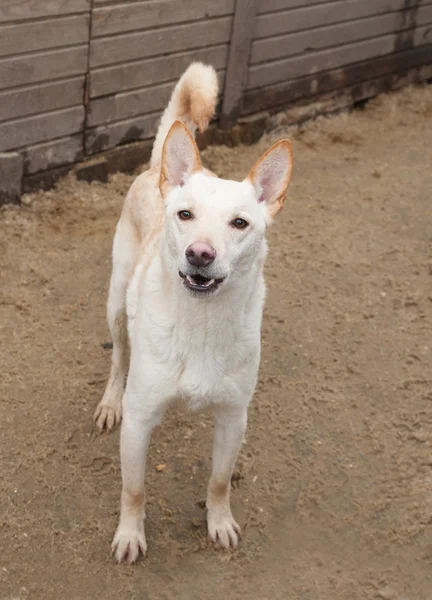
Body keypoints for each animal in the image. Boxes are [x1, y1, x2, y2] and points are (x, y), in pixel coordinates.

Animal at [92, 62, 292, 564]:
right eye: (185, 215)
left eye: (240, 223)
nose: (199, 254)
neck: (201, 325)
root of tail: (155, 169)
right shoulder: (139, 420)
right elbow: (134, 490)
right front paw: (130, 535)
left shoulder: (234, 418)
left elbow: (219, 482)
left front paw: (218, 523)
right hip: (115, 306)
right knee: (118, 358)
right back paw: (108, 402)